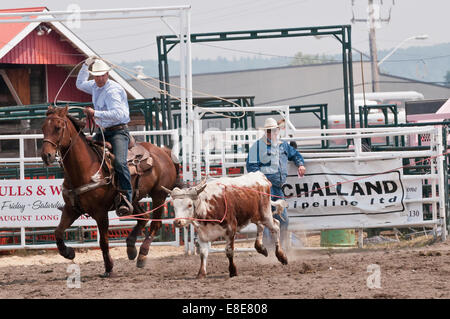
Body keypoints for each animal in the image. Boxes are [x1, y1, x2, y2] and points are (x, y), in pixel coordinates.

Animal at [40, 107, 179, 278]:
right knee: (143, 217)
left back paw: (142, 255)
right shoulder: (71, 209)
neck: (86, 168)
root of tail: (163, 152)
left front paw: (109, 268)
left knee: (155, 224)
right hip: (131, 198)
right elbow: (58, 232)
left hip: (159, 195)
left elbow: (104, 242)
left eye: (58, 128)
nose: (46, 155)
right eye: (43, 128)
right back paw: (131, 248)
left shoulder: (100, 212)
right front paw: (69, 252)